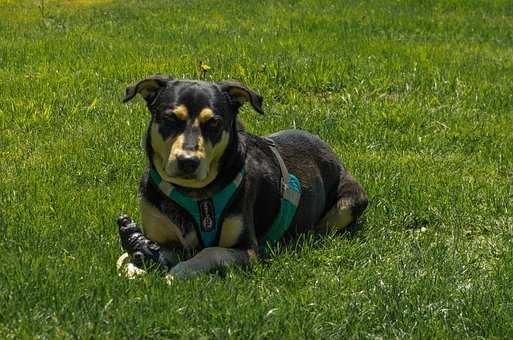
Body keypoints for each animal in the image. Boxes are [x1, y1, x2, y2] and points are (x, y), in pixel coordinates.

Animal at [117, 75, 366, 280]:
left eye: (214, 123)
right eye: (169, 118)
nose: (188, 161)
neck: (194, 193)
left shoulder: (247, 249)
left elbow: (209, 251)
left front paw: (180, 271)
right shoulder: (161, 237)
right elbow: (131, 256)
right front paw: (133, 265)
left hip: (350, 202)